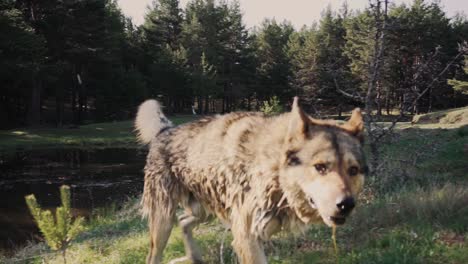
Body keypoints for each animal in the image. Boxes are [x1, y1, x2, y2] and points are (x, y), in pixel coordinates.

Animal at [137, 97, 368, 264]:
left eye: (353, 170)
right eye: (320, 167)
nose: (346, 204)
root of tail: (165, 129)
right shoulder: (247, 238)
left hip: (205, 211)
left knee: (184, 221)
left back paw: (195, 257)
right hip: (164, 222)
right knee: (152, 255)